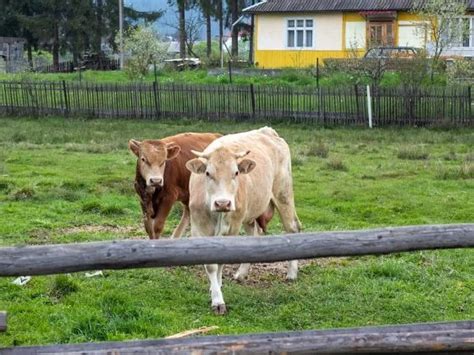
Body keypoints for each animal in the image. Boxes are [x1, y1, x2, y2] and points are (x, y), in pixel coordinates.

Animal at [185, 127, 300, 314]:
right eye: (208, 173)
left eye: (236, 173)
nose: (223, 203)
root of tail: (267, 131)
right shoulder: (198, 228)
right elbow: (210, 265)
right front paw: (215, 291)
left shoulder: (232, 228)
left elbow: (220, 262)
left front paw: (218, 298)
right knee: (253, 236)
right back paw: (242, 273)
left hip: (283, 194)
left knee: (293, 228)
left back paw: (292, 273)